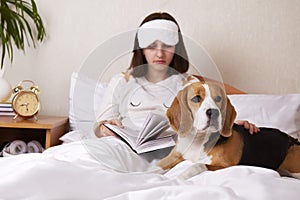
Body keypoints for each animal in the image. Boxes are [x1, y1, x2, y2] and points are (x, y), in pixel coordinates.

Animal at [157, 79, 300, 180]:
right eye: (196, 98)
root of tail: (293, 139)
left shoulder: (225, 166)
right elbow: (157, 167)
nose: (214, 112)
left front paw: (177, 178)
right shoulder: (174, 157)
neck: (199, 140)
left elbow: (197, 165)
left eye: (218, 98)